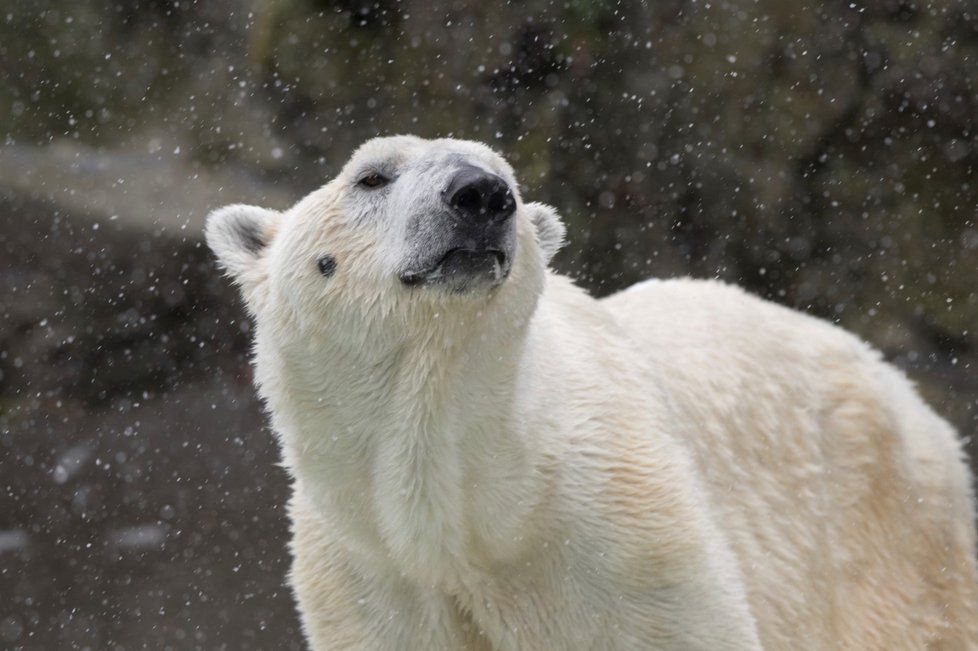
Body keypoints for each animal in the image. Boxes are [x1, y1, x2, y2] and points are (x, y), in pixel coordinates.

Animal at [208, 135, 976, 648]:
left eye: (508, 177)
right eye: (371, 175)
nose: (480, 195)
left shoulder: (627, 544)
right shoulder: (372, 577)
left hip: (891, 549)